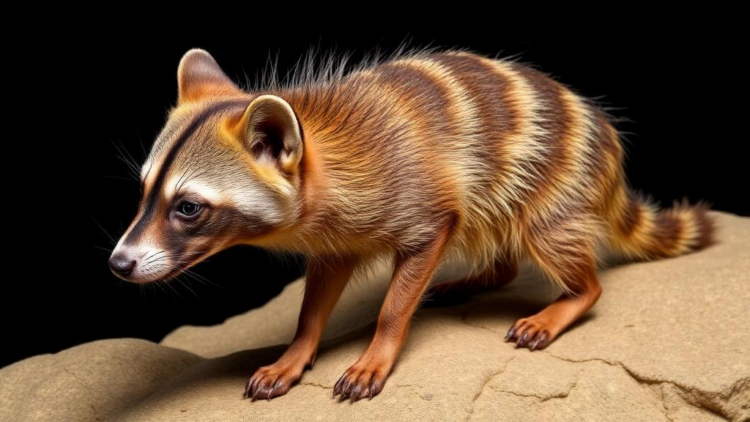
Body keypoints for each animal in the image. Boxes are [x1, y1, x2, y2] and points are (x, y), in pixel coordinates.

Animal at [109, 48, 714, 401]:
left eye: (188, 208)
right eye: (143, 192)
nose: (118, 263)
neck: (321, 150)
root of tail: (611, 157)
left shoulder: (415, 200)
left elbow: (402, 292)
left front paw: (380, 347)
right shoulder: (336, 236)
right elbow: (318, 292)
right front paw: (298, 348)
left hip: (556, 181)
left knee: (552, 241)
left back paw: (572, 295)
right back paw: (484, 277)